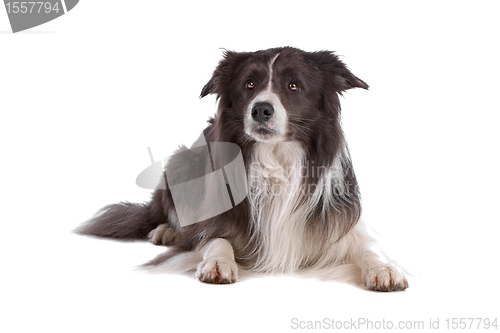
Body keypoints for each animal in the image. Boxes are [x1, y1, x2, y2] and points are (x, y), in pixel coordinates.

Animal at [77, 46, 406, 290]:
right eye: (249, 84)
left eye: (294, 85)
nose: (261, 109)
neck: (276, 160)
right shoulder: (212, 220)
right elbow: (215, 239)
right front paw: (219, 263)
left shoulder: (341, 219)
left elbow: (369, 246)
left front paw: (386, 268)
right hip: (180, 162)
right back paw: (165, 231)